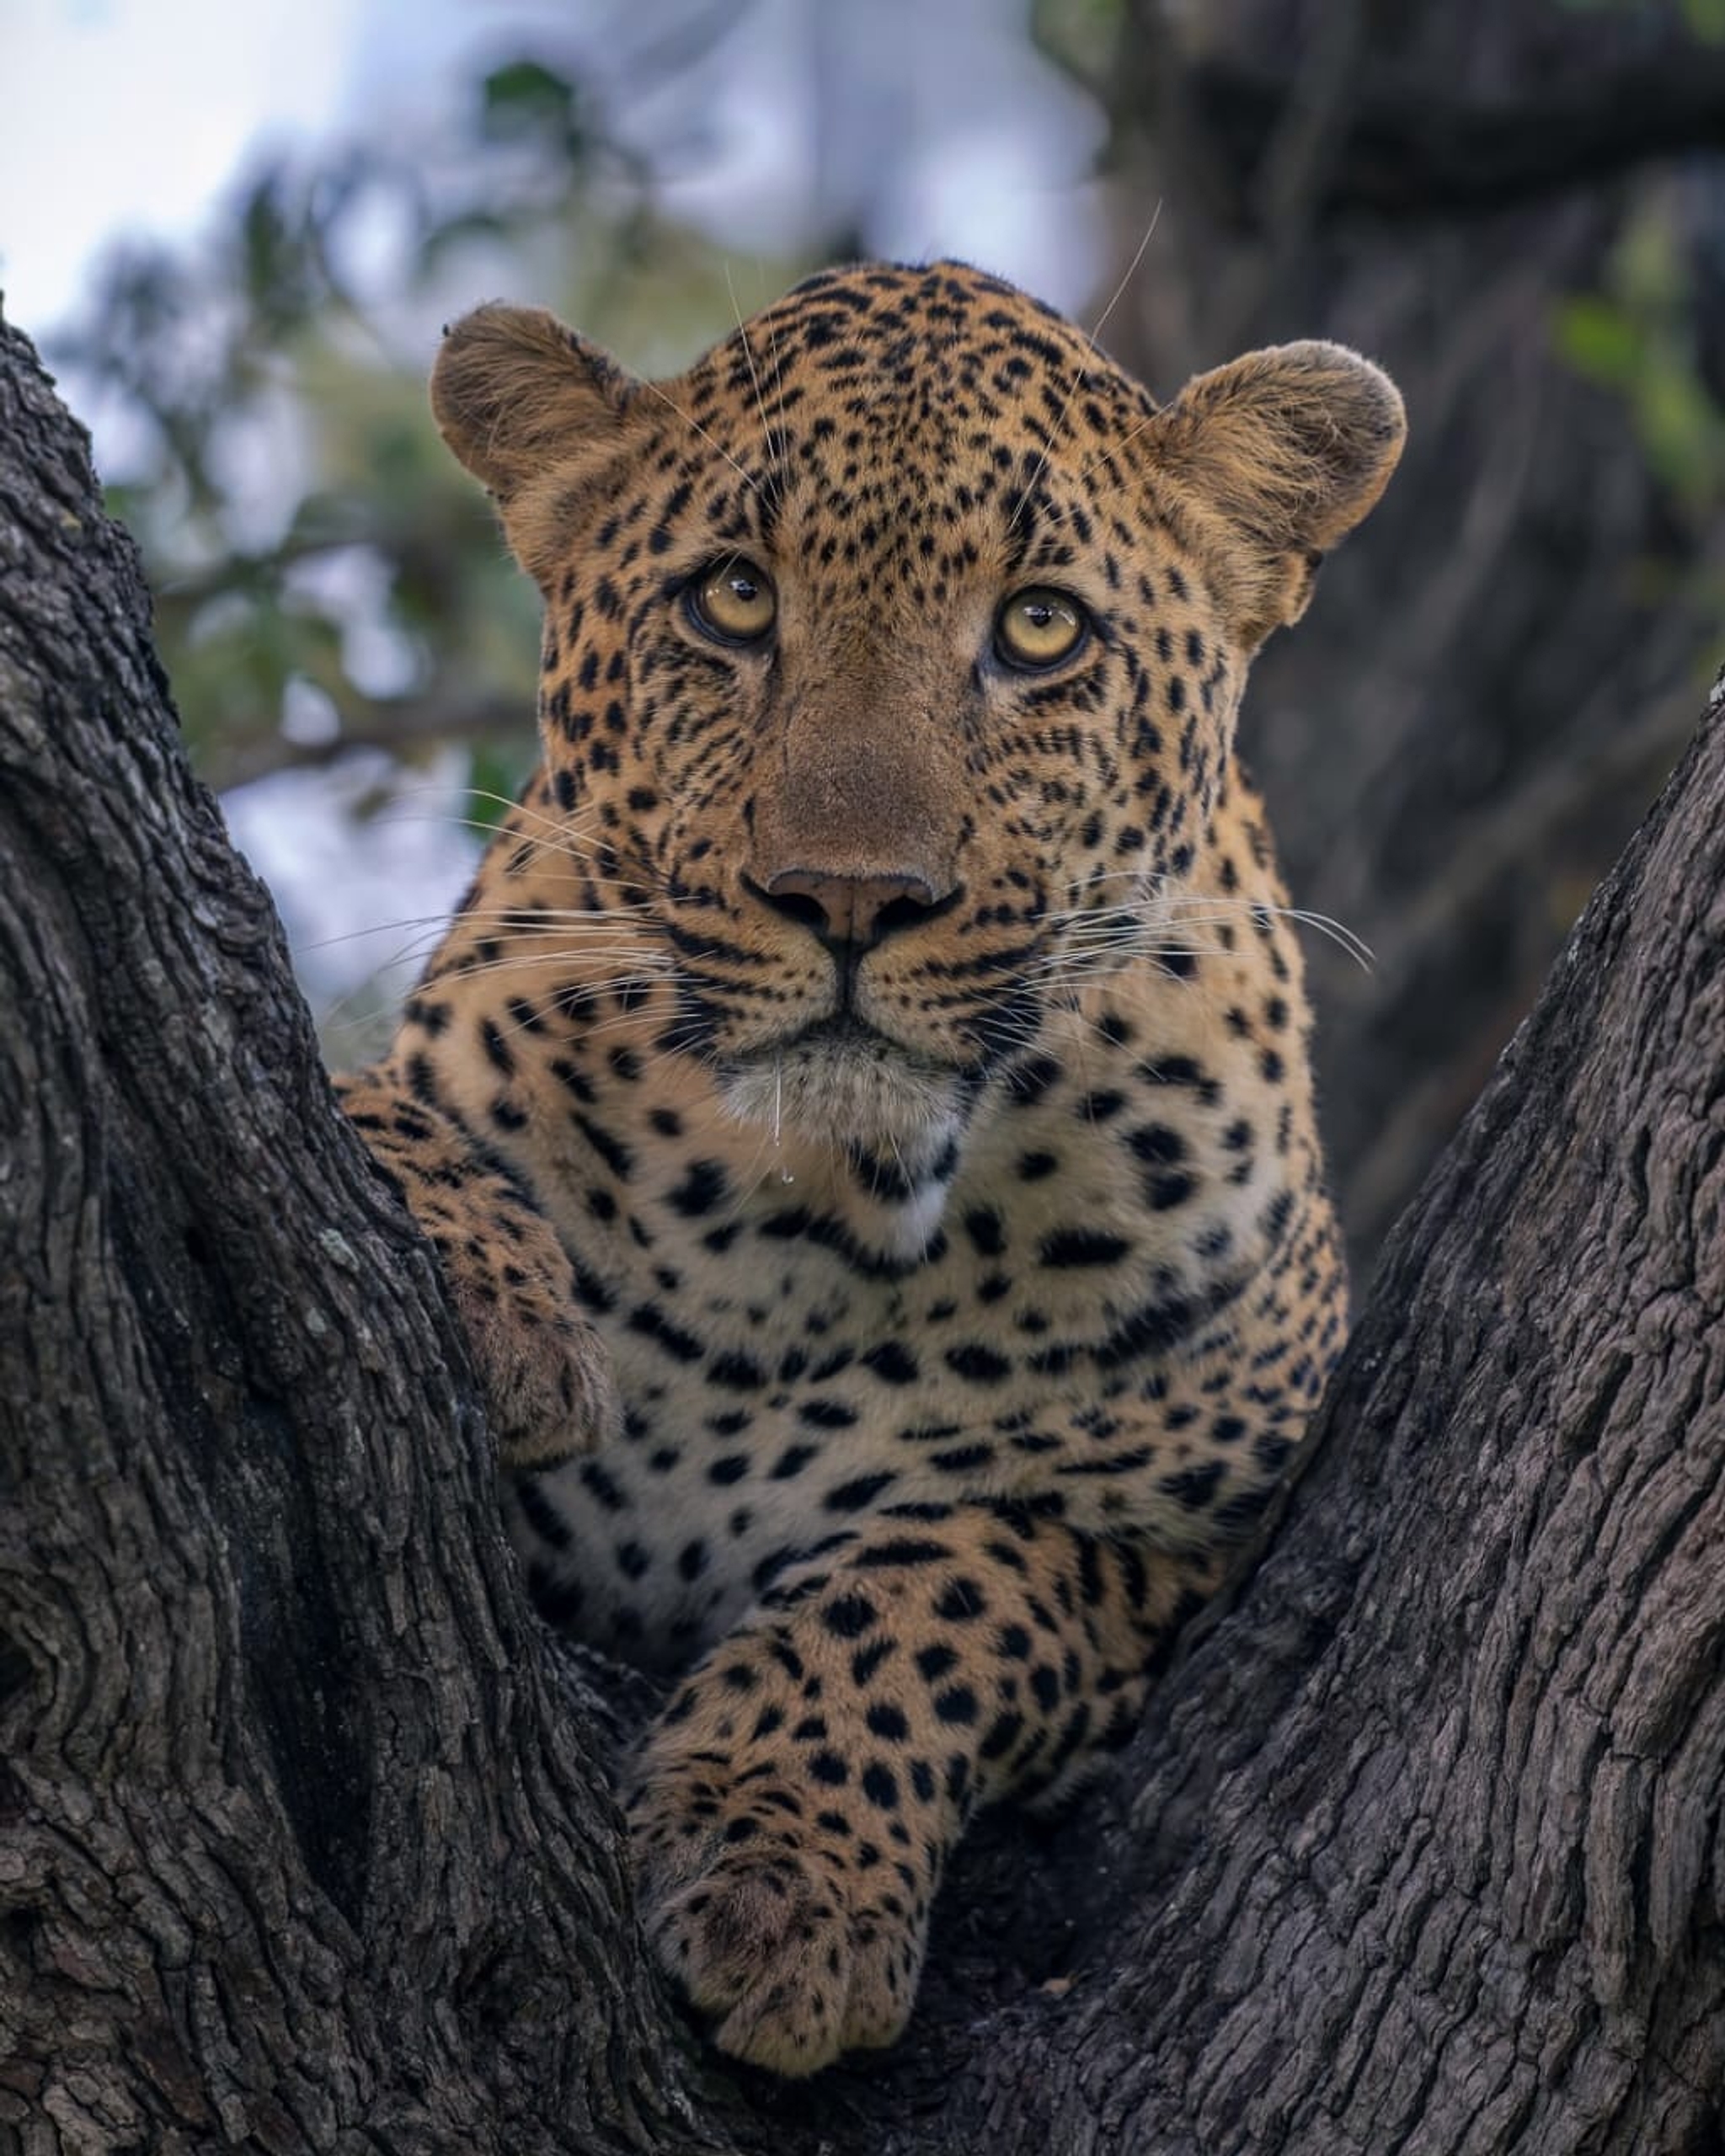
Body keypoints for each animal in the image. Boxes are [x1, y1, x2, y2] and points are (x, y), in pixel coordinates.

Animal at [336, 258, 1404, 2077]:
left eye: (1039, 627)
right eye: (732, 598)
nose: (845, 896)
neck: (803, 1223)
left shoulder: (1204, 1543)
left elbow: (957, 1574)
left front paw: (783, 1869)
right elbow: (345, 1087)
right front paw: (507, 1308)